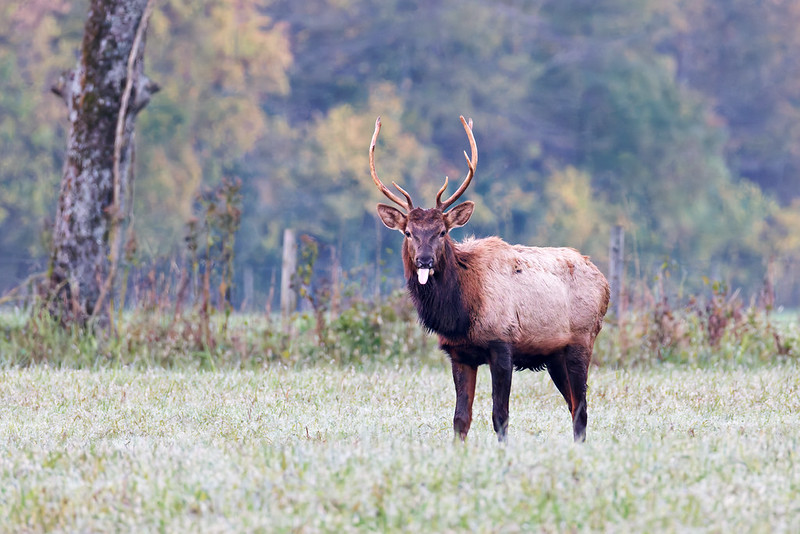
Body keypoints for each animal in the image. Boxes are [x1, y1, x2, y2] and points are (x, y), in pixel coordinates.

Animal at [369, 115, 610, 442]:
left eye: (442, 232)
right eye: (408, 233)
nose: (424, 260)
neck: (460, 313)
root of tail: (605, 284)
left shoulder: (502, 343)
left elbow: (500, 415)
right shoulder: (459, 354)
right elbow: (460, 418)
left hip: (582, 340)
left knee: (581, 408)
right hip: (554, 355)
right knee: (574, 407)